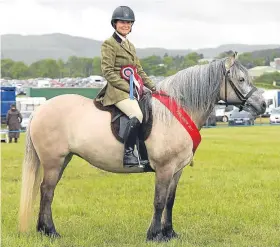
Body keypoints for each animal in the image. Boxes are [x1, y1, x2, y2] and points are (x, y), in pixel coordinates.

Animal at [19, 54, 264, 241]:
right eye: (241, 79)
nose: (261, 105)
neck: (175, 113)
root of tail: (39, 110)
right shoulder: (164, 168)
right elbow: (159, 201)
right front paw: (154, 235)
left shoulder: (177, 170)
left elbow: (170, 201)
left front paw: (169, 233)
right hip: (54, 161)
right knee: (47, 191)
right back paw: (50, 231)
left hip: (63, 159)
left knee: (46, 190)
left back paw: (43, 230)